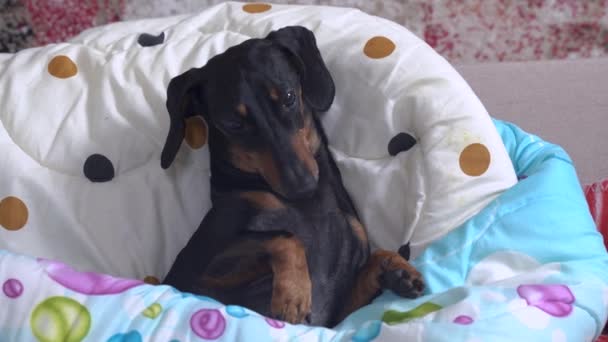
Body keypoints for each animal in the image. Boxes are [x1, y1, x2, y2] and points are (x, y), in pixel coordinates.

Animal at [159, 26, 422, 326]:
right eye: (233, 124)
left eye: (288, 97)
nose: (302, 185)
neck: (307, 206)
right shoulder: (194, 273)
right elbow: (283, 236)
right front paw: (293, 294)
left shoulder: (334, 317)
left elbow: (375, 257)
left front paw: (397, 269)